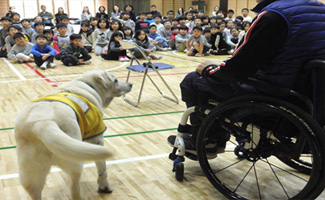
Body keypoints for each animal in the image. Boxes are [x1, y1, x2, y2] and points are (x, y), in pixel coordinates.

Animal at [14, 70, 132, 200]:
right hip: (75, 163)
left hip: (31, 174)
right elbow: (102, 169)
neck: (89, 84)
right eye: (115, 80)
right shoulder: (97, 139)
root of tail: (42, 123)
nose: (130, 84)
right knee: (74, 188)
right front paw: (104, 187)